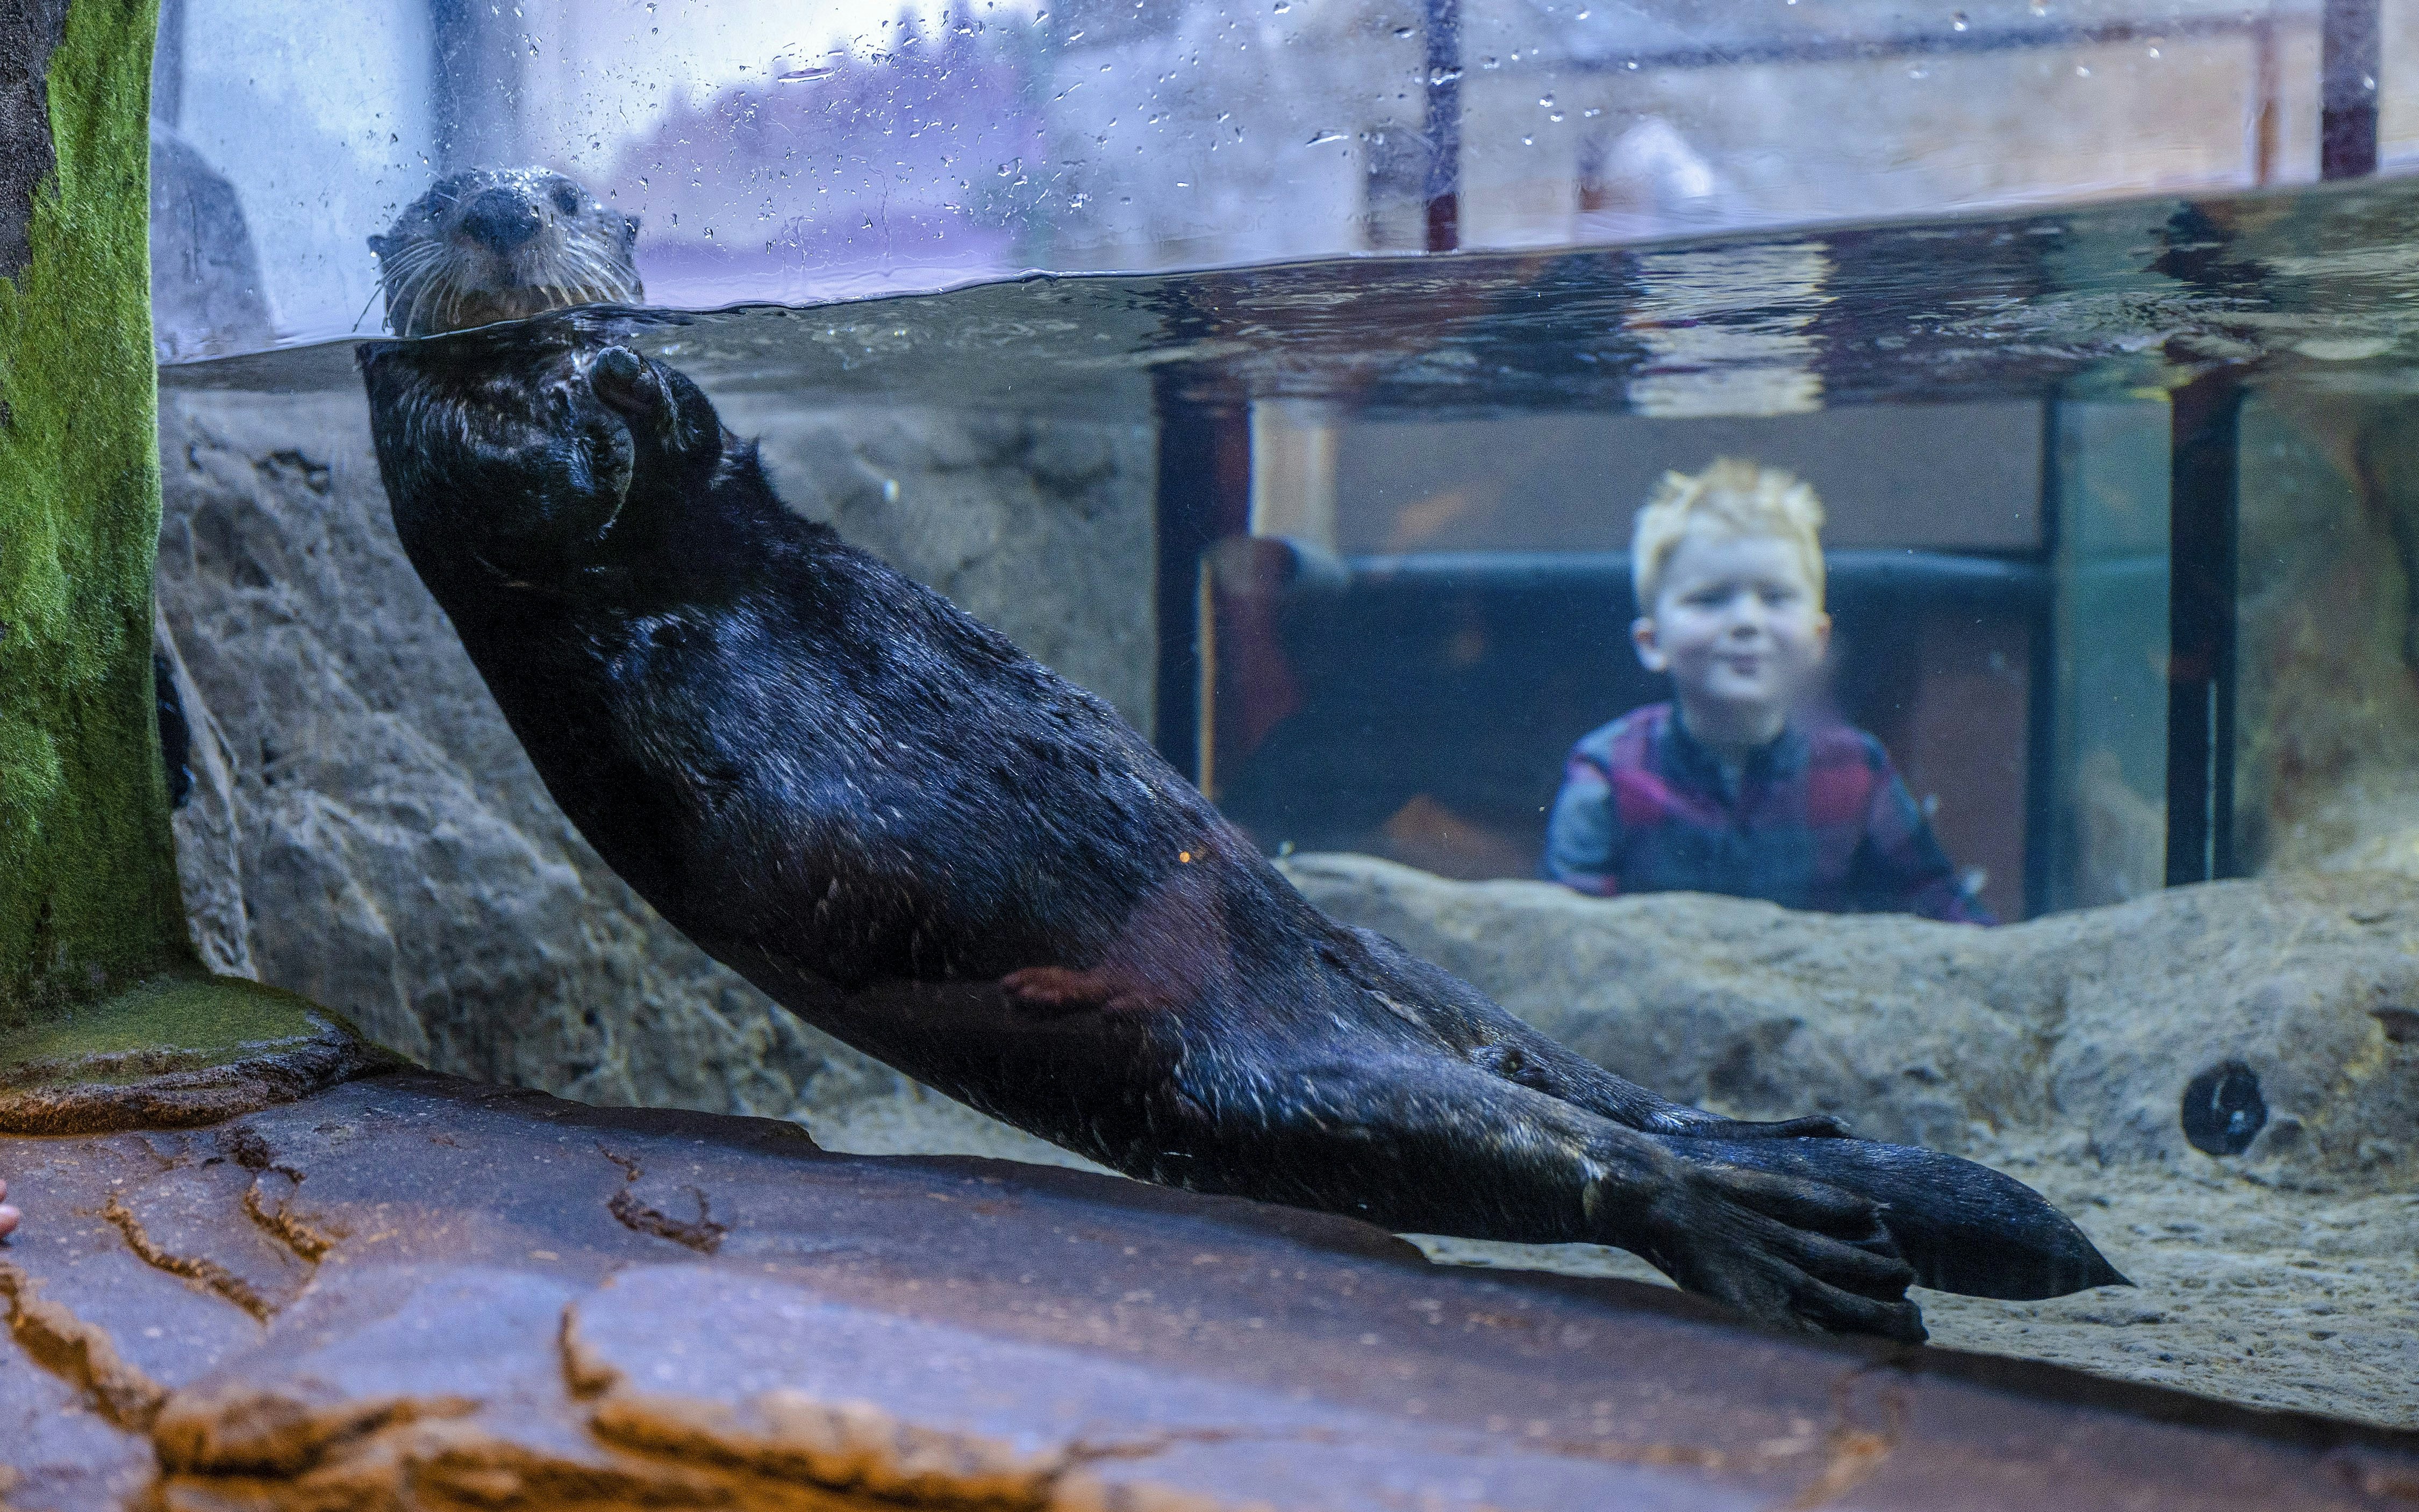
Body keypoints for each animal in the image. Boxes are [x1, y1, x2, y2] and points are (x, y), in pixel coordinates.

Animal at [357, 170, 2124, 1342]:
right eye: (434, 193)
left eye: (566, 186)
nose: (498, 209)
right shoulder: (453, 473)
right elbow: (529, 486)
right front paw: (586, 385)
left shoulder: (722, 490)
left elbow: (697, 448)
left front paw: (635, 364)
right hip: (1251, 1085)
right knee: (1547, 1146)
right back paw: (1784, 1239)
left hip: (1396, 983)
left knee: (1567, 1076)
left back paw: (1800, 1144)